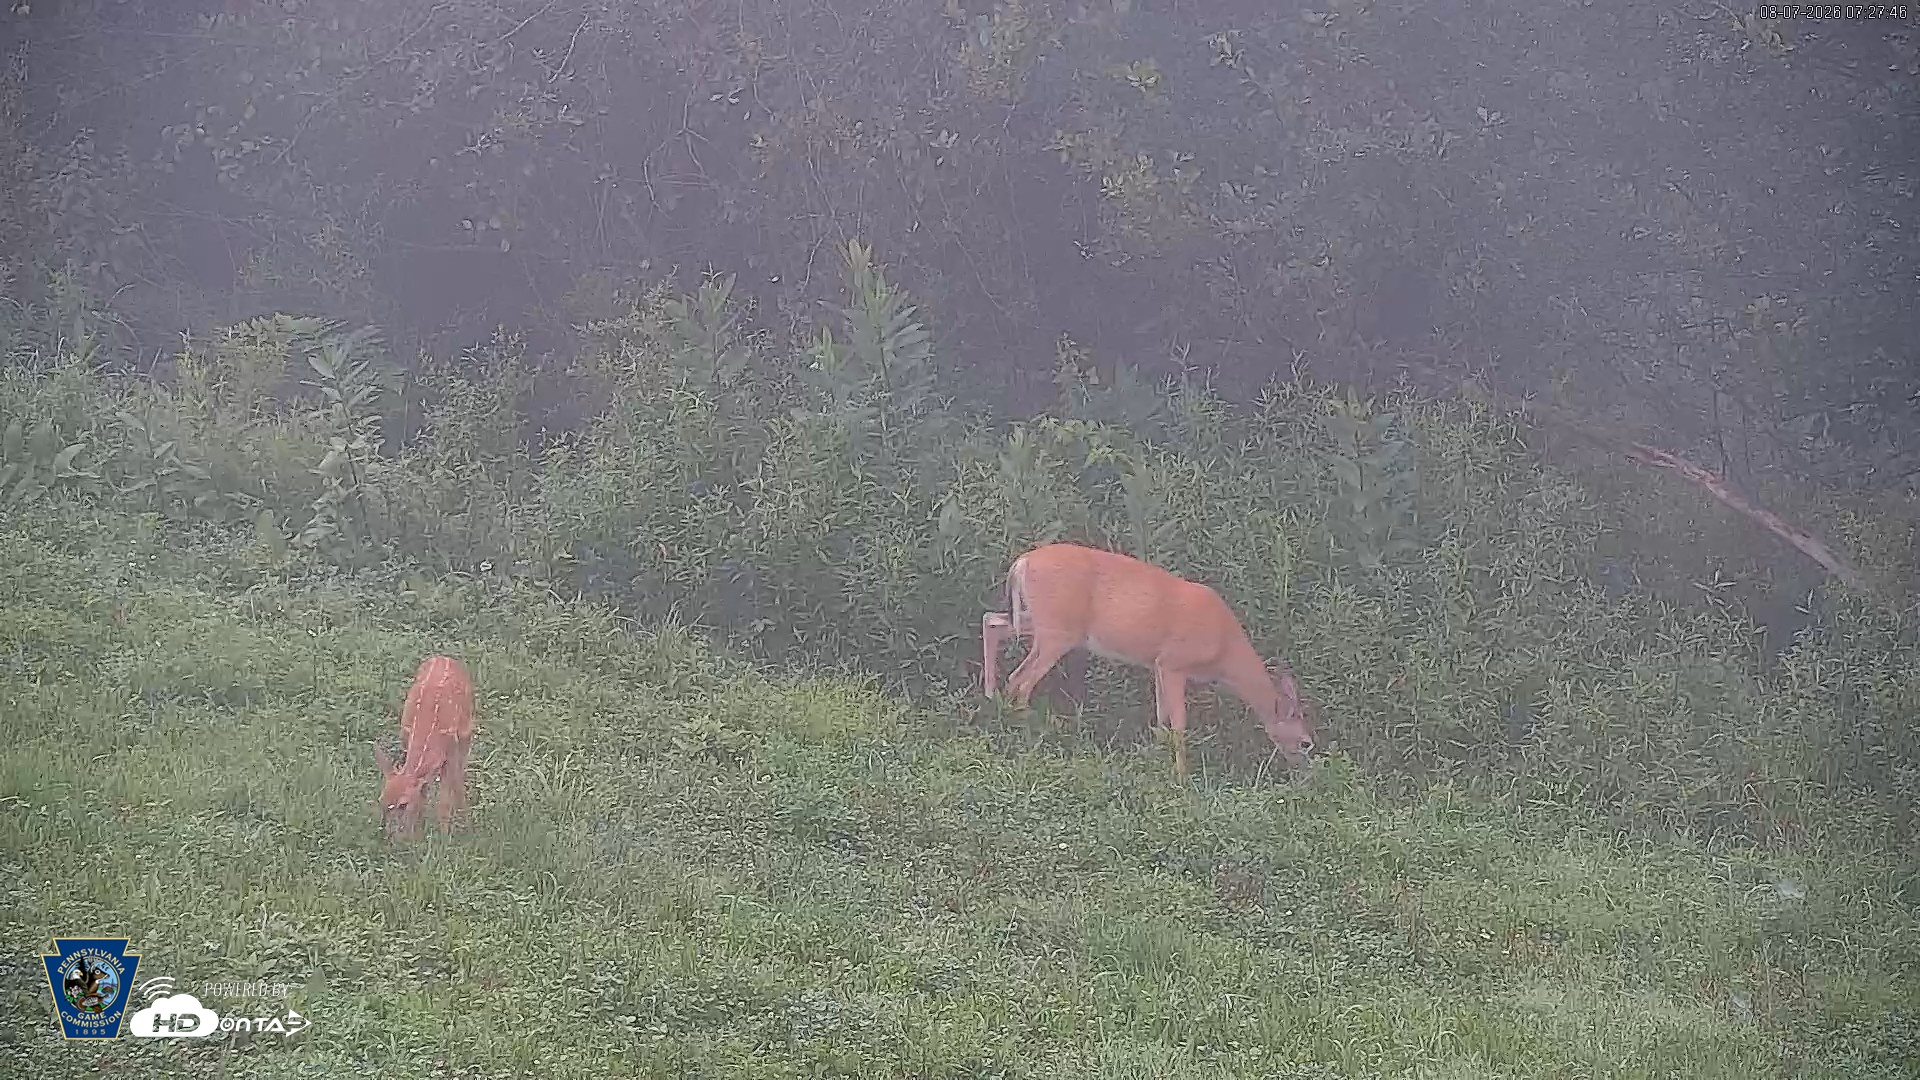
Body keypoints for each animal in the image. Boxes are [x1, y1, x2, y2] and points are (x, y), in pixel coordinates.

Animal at [373, 654, 475, 838]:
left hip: (466, 737)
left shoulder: (451, 754)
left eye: (403, 804)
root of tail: (444, 657)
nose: (385, 835)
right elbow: (422, 793)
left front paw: (445, 838)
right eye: (381, 800)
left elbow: (445, 801)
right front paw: (417, 834)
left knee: (459, 781)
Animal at [980, 542, 1315, 782]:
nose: (1304, 772)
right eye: (1306, 743)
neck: (1224, 649)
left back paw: (991, 699)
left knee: (992, 622)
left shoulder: (1157, 665)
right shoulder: (1174, 662)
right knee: (1021, 679)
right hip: (1057, 631)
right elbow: (1178, 723)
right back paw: (1024, 735)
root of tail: (1022, 562)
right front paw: (1182, 777)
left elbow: (1161, 717)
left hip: (1040, 622)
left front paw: (1155, 762)